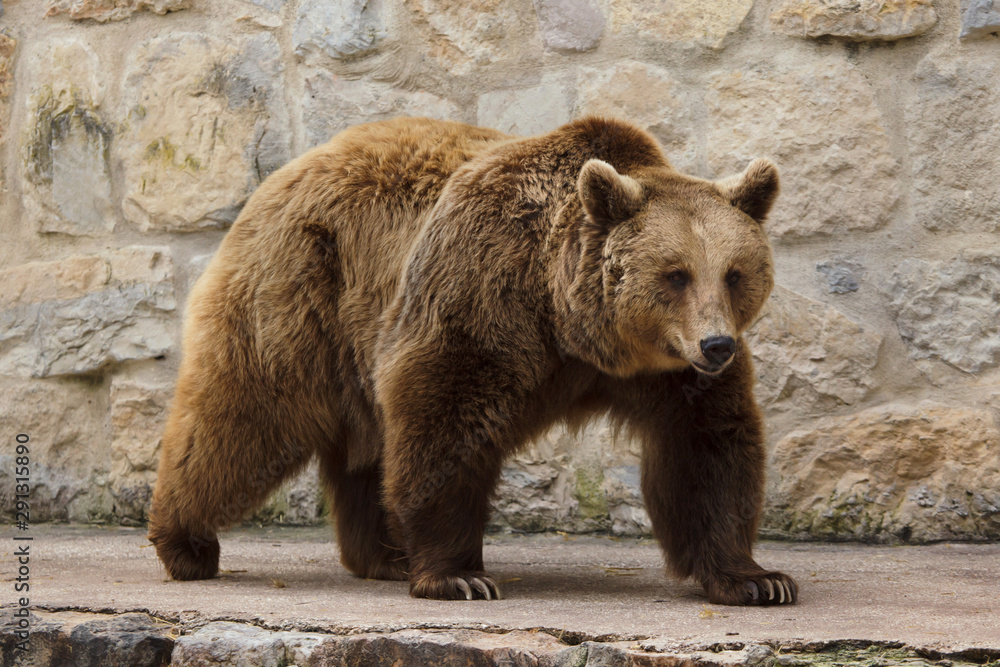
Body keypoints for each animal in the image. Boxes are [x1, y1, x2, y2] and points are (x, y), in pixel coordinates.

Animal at [148, 115, 797, 606]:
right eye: (675, 274)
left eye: (734, 273)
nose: (717, 345)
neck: (574, 324)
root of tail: (285, 172)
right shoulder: (482, 296)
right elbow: (446, 420)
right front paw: (459, 576)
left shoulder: (669, 375)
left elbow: (707, 448)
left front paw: (757, 579)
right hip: (304, 288)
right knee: (243, 415)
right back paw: (186, 543)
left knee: (364, 445)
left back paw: (384, 555)